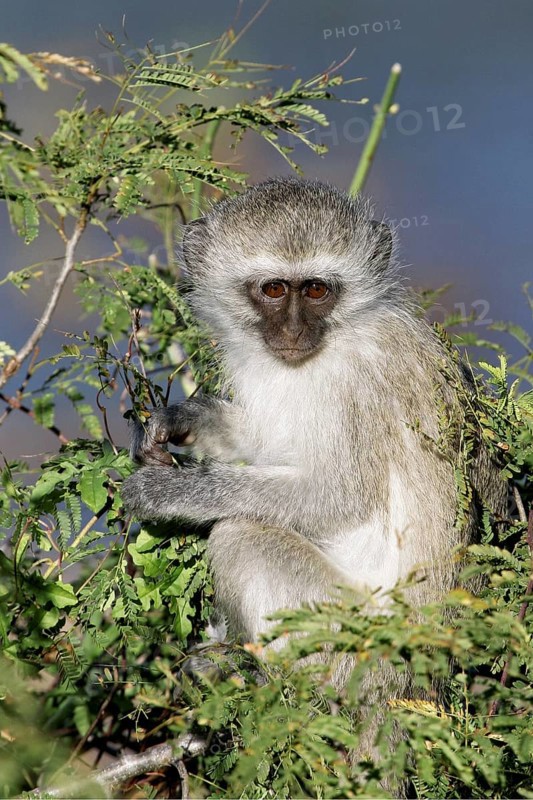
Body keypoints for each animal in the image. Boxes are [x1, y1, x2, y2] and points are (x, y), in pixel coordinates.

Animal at [121, 177, 506, 780]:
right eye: (275, 289)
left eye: (319, 291)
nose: (296, 332)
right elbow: (266, 439)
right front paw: (181, 419)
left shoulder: (352, 382)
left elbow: (335, 497)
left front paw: (164, 493)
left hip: (349, 647)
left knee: (242, 537)